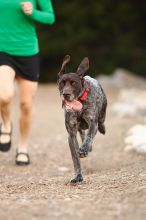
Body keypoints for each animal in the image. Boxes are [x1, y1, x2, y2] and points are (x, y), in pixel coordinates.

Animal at [57, 55, 106, 183]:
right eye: (62, 83)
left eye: (73, 83)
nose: (66, 94)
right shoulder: (71, 135)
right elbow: (75, 159)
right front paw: (78, 176)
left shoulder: (93, 123)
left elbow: (89, 136)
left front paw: (84, 149)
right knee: (82, 132)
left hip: (102, 114)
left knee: (100, 123)